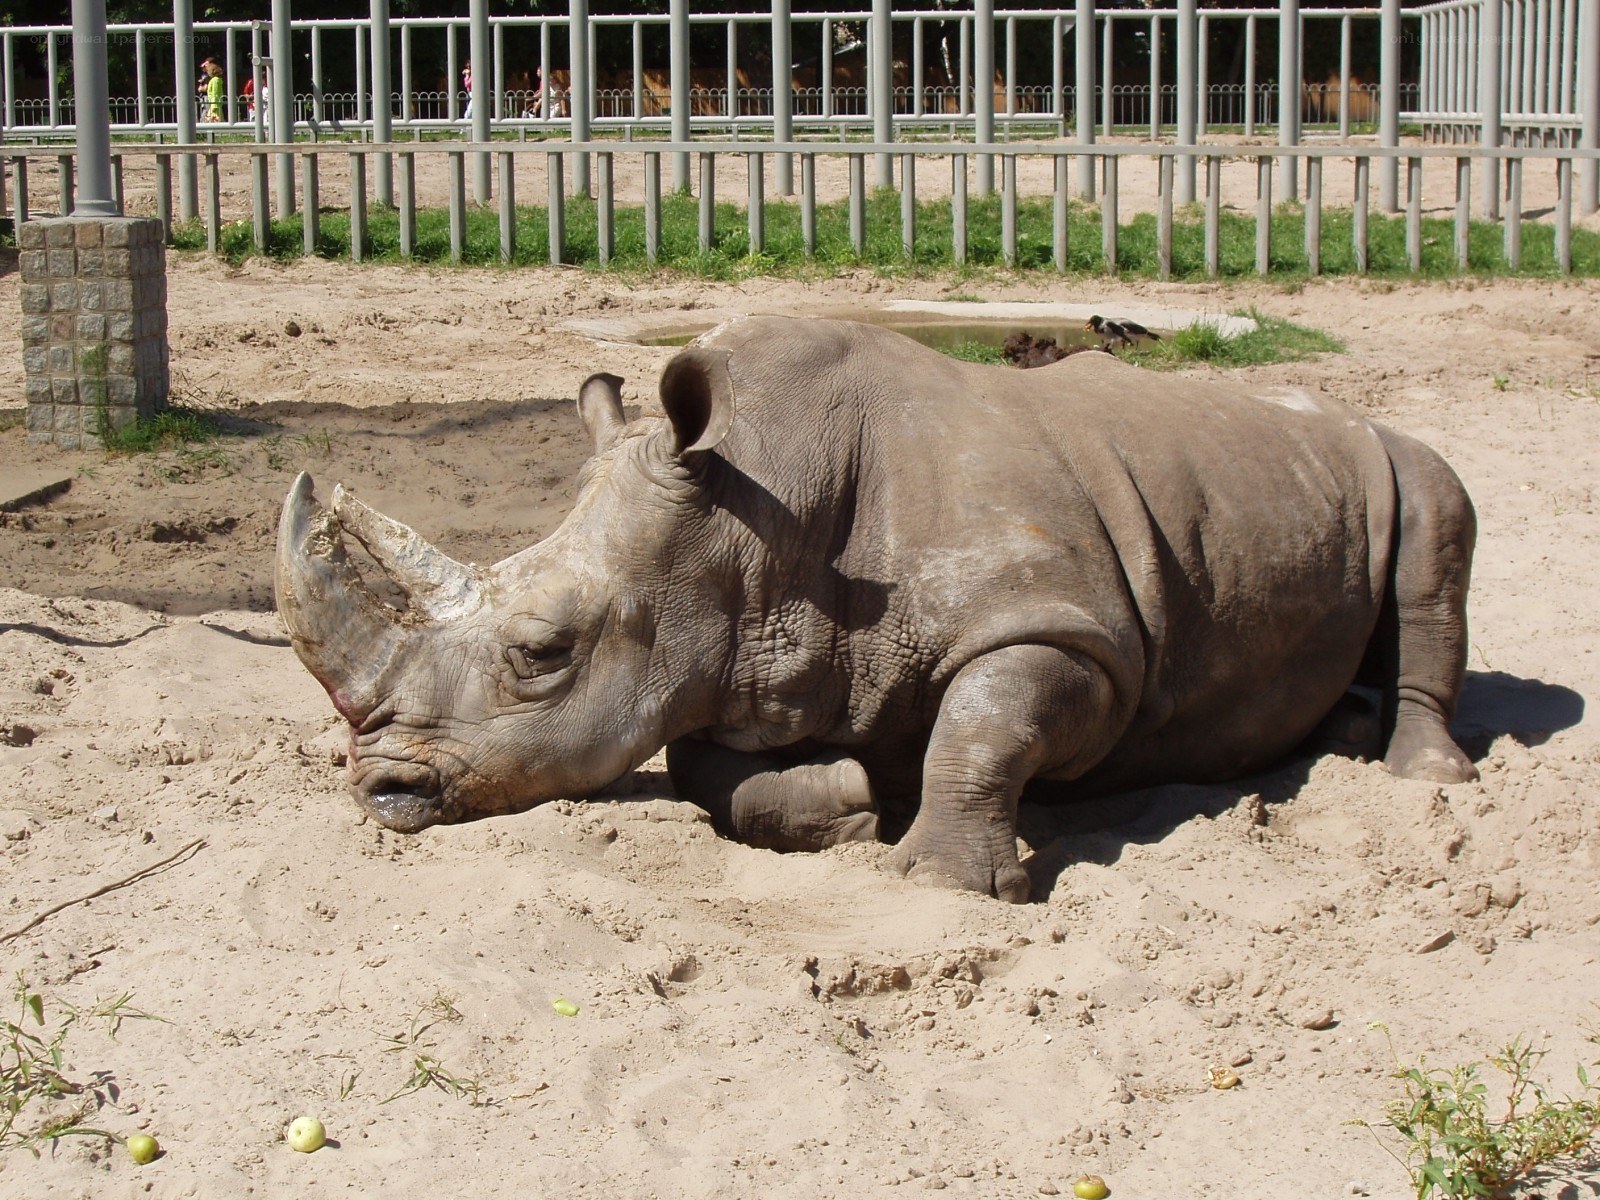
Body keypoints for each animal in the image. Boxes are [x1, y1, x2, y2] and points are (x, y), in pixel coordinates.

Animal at [276, 316, 1477, 903]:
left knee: (1435, 520)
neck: (760, 513)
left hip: (1395, 453)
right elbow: (708, 768)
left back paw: (1425, 778)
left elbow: (985, 728)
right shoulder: (731, 656)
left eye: (543, 650)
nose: (378, 791)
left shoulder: (1071, 629)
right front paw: (850, 804)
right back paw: (1339, 736)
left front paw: (942, 882)